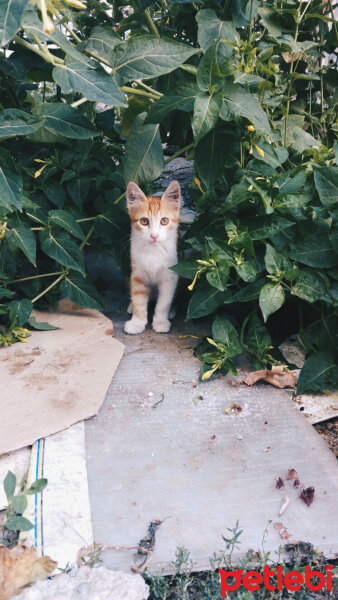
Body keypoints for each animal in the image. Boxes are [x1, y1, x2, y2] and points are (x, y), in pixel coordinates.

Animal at [124, 180, 181, 336]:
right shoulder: (137, 273)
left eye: (164, 221)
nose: (154, 236)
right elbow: (138, 299)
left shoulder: (170, 275)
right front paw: (137, 322)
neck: (153, 251)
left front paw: (160, 321)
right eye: (144, 221)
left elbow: (164, 302)